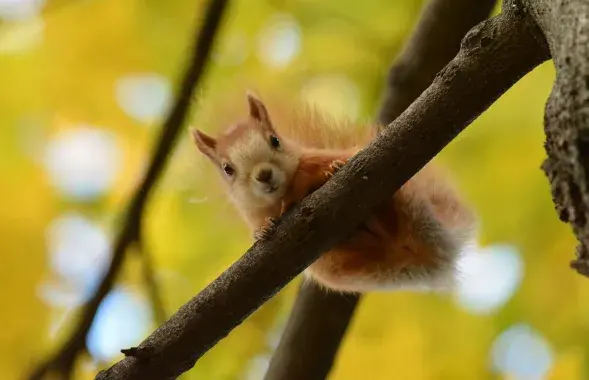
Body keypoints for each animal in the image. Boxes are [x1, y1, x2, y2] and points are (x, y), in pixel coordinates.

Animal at [191, 93, 476, 294]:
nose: (264, 175)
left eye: (275, 140)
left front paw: (329, 171)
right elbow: (264, 222)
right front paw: (262, 231)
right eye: (227, 169)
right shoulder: (255, 211)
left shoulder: (314, 158)